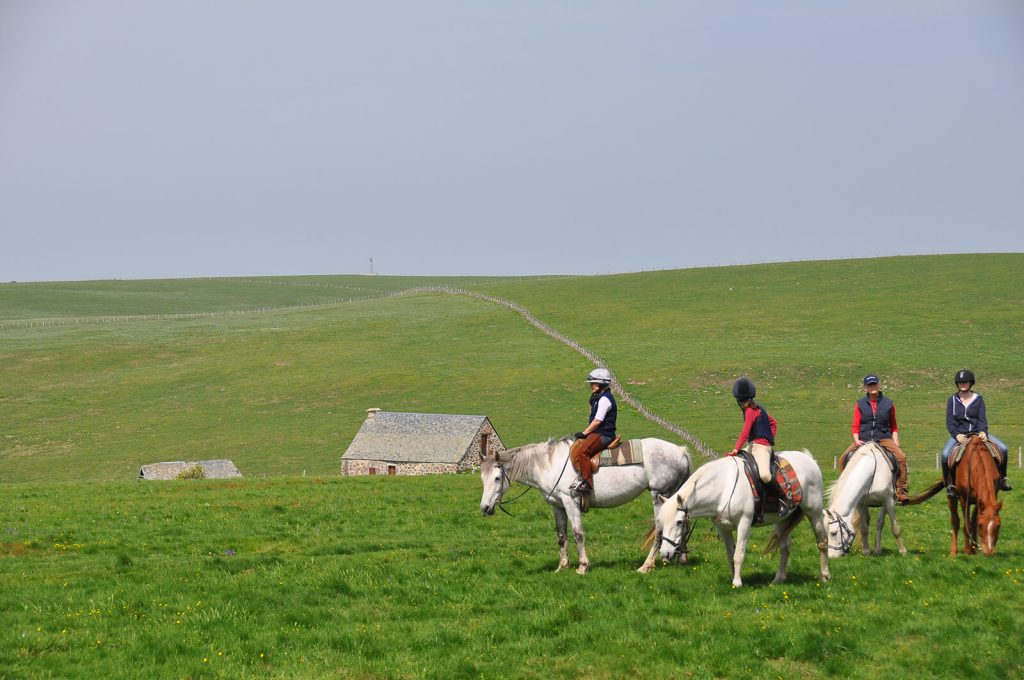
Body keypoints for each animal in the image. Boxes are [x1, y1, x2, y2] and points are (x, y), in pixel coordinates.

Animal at [481, 436, 692, 573]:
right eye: (482, 478)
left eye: (497, 478)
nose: (484, 508)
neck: (549, 465)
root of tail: (681, 452)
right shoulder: (557, 505)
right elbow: (561, 536)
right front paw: (562, 567)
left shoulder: (570, 501)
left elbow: (578, 534)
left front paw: (582, 566)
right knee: (683, 523)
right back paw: (681, 559)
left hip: (660, 496)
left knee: (661, 529)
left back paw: (646, 566)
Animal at [655, 448, 831, 585]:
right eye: (662, 523)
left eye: (679, 522)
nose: (665, 553)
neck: (723, 488)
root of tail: (810, 459)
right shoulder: (723, 528)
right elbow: (730, 555)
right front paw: (734, 578)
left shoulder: (744, 523)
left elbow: (738, 555)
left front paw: (737, 583)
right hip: (782, 520)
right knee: (785, 548)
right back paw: (778, 578)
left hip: (814, 512)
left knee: (822, 542)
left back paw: (825, 575)